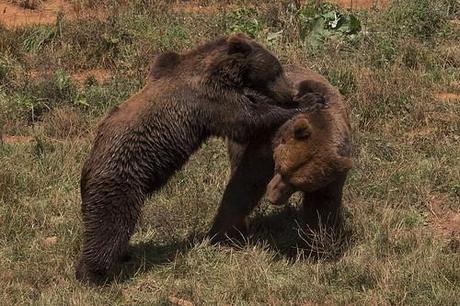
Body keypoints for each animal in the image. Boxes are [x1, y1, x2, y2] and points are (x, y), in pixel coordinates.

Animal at [74, 34, 328, 284]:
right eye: (275, 71)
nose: (290, 92)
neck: (218, 71)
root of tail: (86, 170)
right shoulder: (209, 100)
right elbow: (249, 118)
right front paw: (310, 100)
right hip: (121, 179)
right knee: (110, 224)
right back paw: (93, 273)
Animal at [209, 64, 352, 241]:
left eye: (298, 184)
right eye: (280, 169)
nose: (272, 197)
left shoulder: (332, 173)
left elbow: (323, 204)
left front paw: (318, 238)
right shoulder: (268, 140)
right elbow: (246, 181)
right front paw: (223, 232)